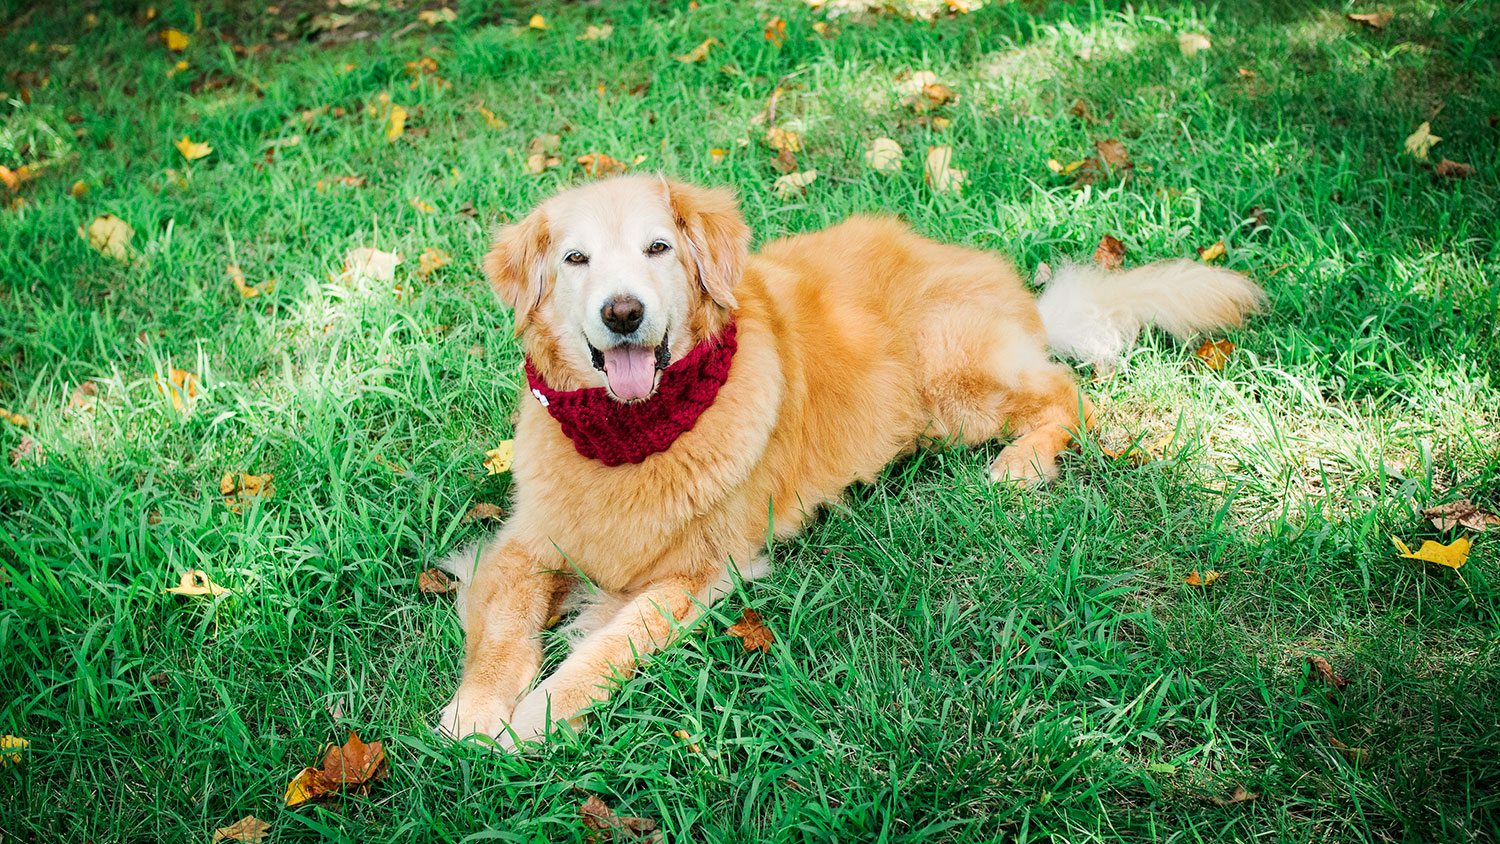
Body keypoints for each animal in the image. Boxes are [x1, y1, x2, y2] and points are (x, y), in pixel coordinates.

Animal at [438, 175, 1266, 749]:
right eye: (575, 259)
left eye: (658, 249)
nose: (623, 313)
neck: (629, 436)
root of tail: (1011, 289)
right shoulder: (523, 544)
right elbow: (504, 633)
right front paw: (477, 712)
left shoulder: (700, 571)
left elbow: (608, 647)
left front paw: (535, 717)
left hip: (952, 384)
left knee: (1067, 395)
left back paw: (1025, 464)